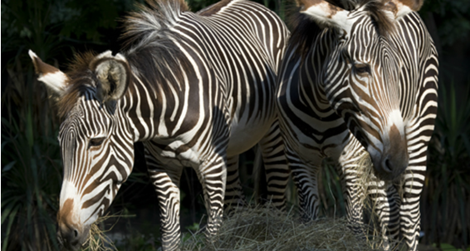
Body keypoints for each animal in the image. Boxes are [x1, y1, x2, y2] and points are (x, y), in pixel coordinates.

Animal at [29, 0, 290, 250]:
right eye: (61, 143)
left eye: (96, 141)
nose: (65, 233)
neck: (164, 115)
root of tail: (255, 4)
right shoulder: (161, 167)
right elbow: (170, 237)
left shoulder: (212, 166)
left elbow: (211, 237)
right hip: (232, 145)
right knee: (236, 202)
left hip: (274, 131)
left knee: (278, 185)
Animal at [278, 0, 438, 249]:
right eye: (361, 68)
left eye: (398, 72)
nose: (397, 160)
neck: (319, 108)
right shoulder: (299, 158)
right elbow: (308, 219)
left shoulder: (351, 162)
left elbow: (355, 228)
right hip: (376, 163)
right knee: (389, 212)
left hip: (417, 132)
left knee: (410, 217)